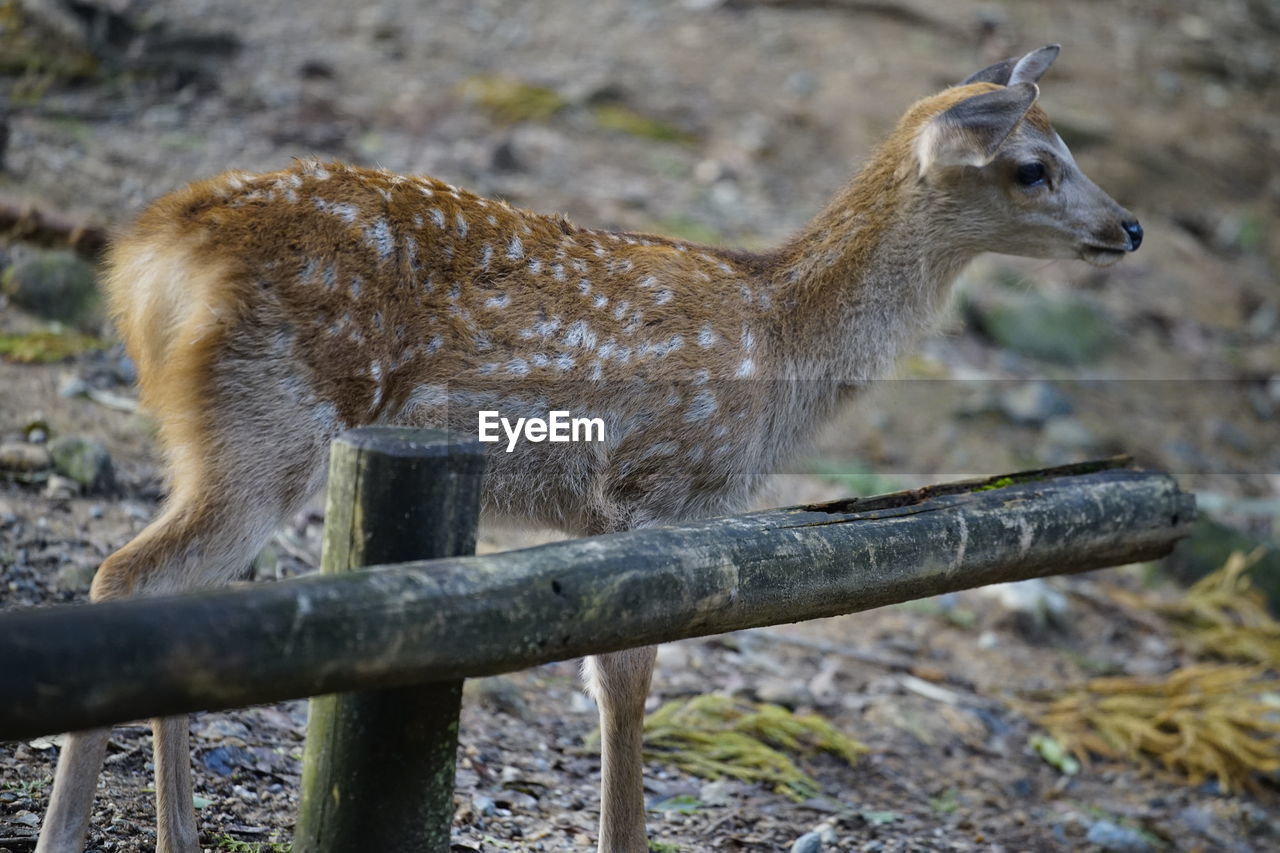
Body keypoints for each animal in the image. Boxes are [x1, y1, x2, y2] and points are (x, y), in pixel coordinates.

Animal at [37, 44, 1141, 850]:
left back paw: (175, 835)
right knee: (126, 578)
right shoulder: (655, 488)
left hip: (231, 438)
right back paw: (66, 834)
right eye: (1032, 167)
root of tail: (150, 257)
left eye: (1072, 149)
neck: (780, 342)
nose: (1129, 227)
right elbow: (625, 679)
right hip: (267, 423)